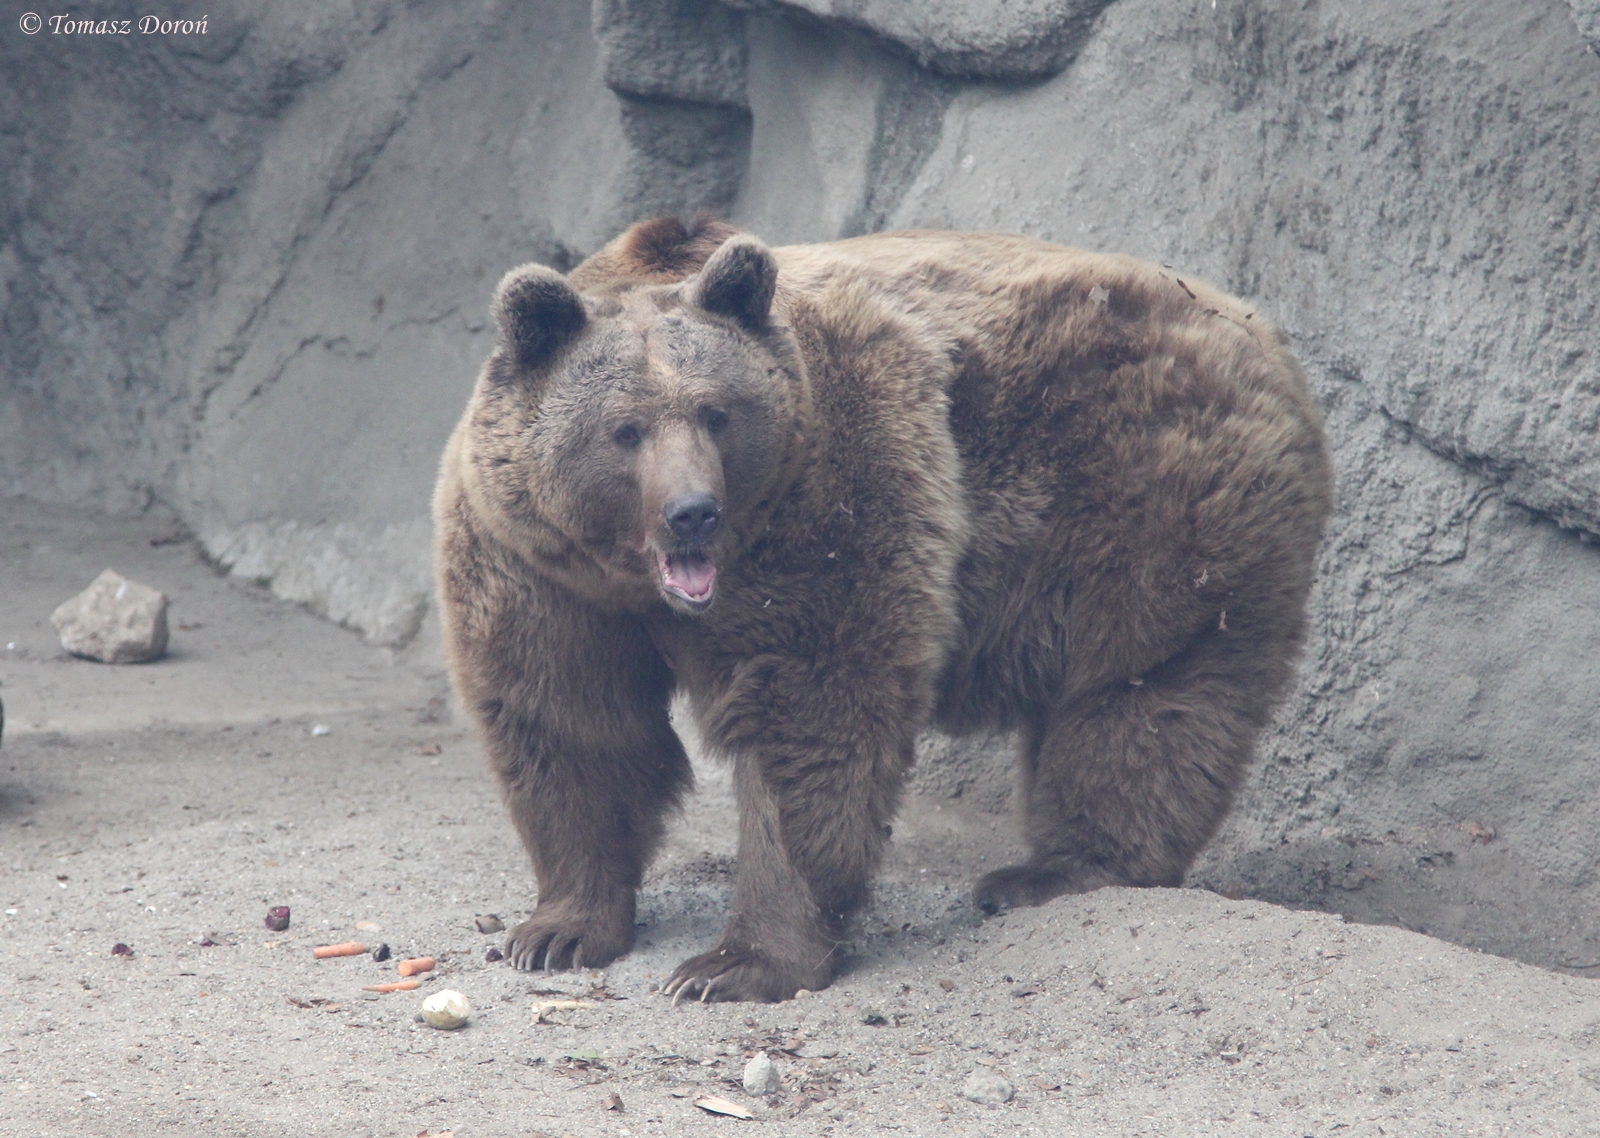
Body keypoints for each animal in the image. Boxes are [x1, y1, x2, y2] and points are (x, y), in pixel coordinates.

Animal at [433, 215, 1332, 1003]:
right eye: (625, 429)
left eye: (717, 413)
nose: (693, 512)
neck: (634, 580)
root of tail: (1260, 329)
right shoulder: (535, 564)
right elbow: (571, 722)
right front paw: (557, 930)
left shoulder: (829, 490)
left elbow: (814, 710)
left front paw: (733, 965)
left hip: (1146, 488)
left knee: (1143, 694)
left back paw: (1054, 872)